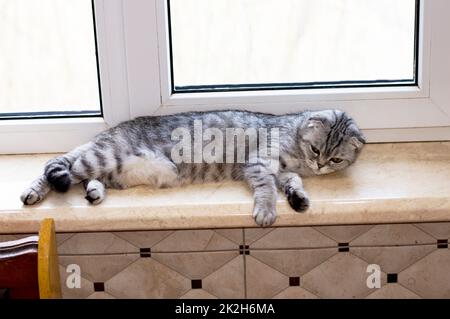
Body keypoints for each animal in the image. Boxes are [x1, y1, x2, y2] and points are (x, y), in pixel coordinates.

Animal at [20, 110, 366, 228]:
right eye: (316, 150)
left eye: (335, 159)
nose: (319, 165)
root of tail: (107, 133)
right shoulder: (258, 163)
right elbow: (267, 188)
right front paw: (267, 210)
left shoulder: (285, 172)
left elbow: (292, 182)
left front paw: (298, 197)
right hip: (101, 157)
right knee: (55, 169)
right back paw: (33, 191)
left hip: (109, 170)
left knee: (83, 178)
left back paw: (93, 192)